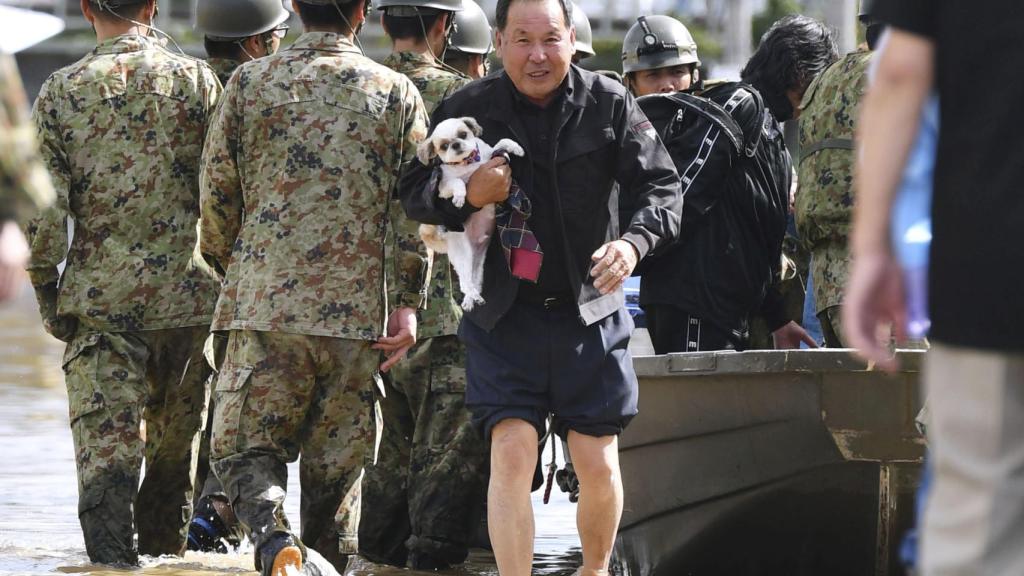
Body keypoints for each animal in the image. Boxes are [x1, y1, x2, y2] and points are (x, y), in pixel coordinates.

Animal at [417, 113, 528, 307]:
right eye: (444, 146)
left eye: (463, 134)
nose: (455, 144)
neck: (468, 163)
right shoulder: (443, 188)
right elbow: (458, 182)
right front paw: (460, 197)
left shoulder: (490, 157)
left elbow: (500, 143)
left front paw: (515, 147)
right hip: (463, 256)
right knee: (464, 283)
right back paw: (473, 296)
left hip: (478, 264)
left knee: (473, 281)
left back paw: (472, 298)